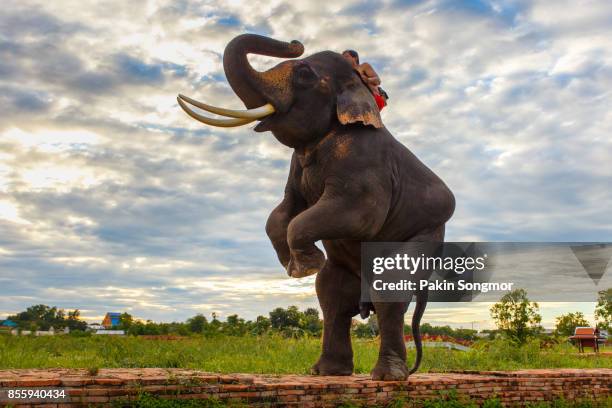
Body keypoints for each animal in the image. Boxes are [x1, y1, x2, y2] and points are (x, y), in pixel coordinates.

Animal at [177, 33, 454, 380]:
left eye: (304, 74)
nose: (295, 42)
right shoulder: (296, 168)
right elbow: (284, 209)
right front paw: (294, 266)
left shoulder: (366, 163)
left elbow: (360, 215)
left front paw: (304, 266)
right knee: (332, 294)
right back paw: (327, 372)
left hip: (426, 234)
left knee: (387, 290)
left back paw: (387, 377)